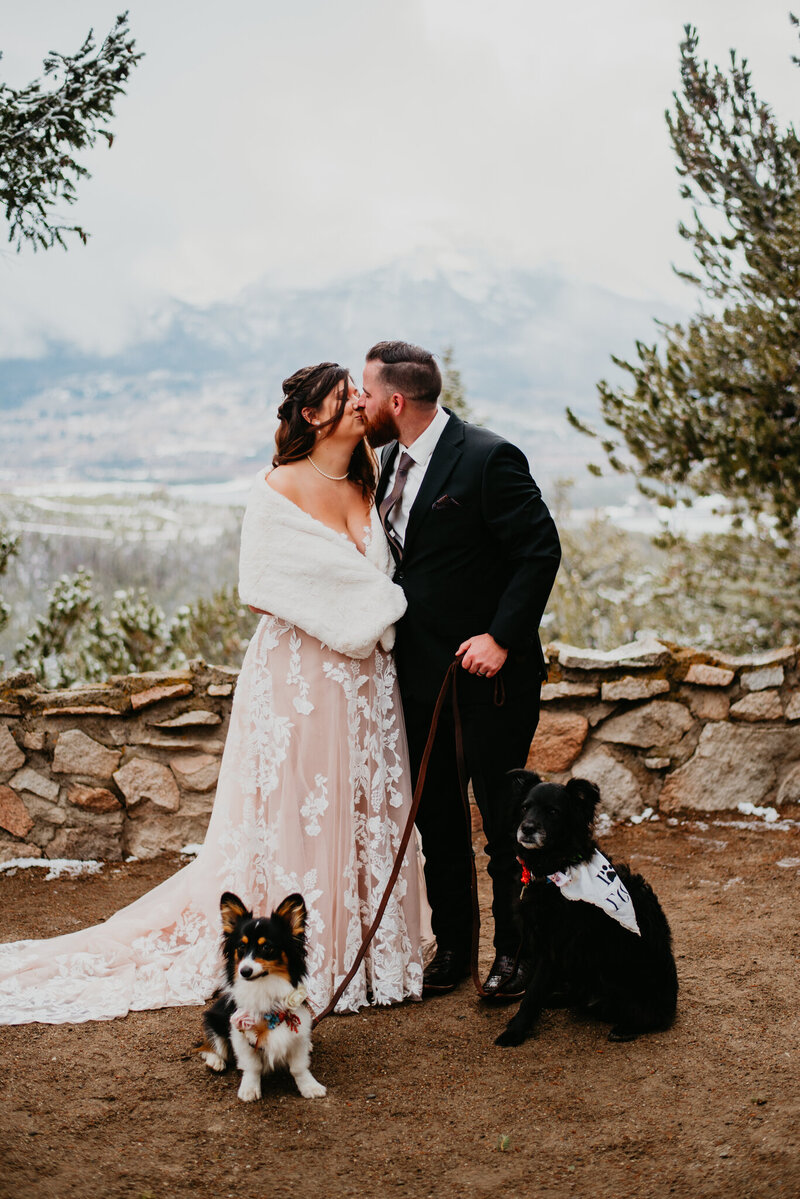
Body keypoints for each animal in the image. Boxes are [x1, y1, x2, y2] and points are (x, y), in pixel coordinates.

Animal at [200, 887, 326, 1098]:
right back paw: (215, 1061)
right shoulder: (239, 1033)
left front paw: (310, 1086)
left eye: (267, 947)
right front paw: (249, 1089)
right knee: (211, 1044)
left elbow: (299, 1067)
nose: (244, 971)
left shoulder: (297, 1033)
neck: (264, 985)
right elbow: (252, 1066)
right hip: (215, 1018)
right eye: (241, 947)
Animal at [496, 772, 681, 1045]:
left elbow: (532, 994)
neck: (554, 868)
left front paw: (515, 1031)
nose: (527, 828)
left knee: (651, 1015)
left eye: (553, 811)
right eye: (524, 808)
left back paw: (626, 1027)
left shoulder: (554, 946)